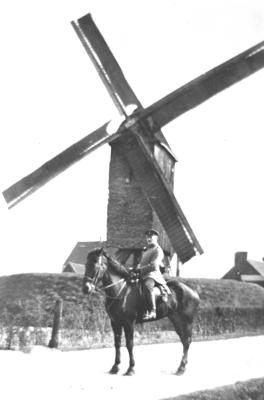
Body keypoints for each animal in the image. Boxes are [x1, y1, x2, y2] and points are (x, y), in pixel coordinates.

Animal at [82, 247, 200, 376]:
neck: (121, 292)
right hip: (176, 320)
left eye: (96, 264)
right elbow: (117, 344)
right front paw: (115, 367)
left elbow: (129, 344)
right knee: (184, 340)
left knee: (187, 341)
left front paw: (130, 368)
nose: (86, 288)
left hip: (187, 321)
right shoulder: (115, 323)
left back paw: (182, 368)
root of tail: (193, 291)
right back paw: (180, 367)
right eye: (86, 264)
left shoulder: (129, 323)